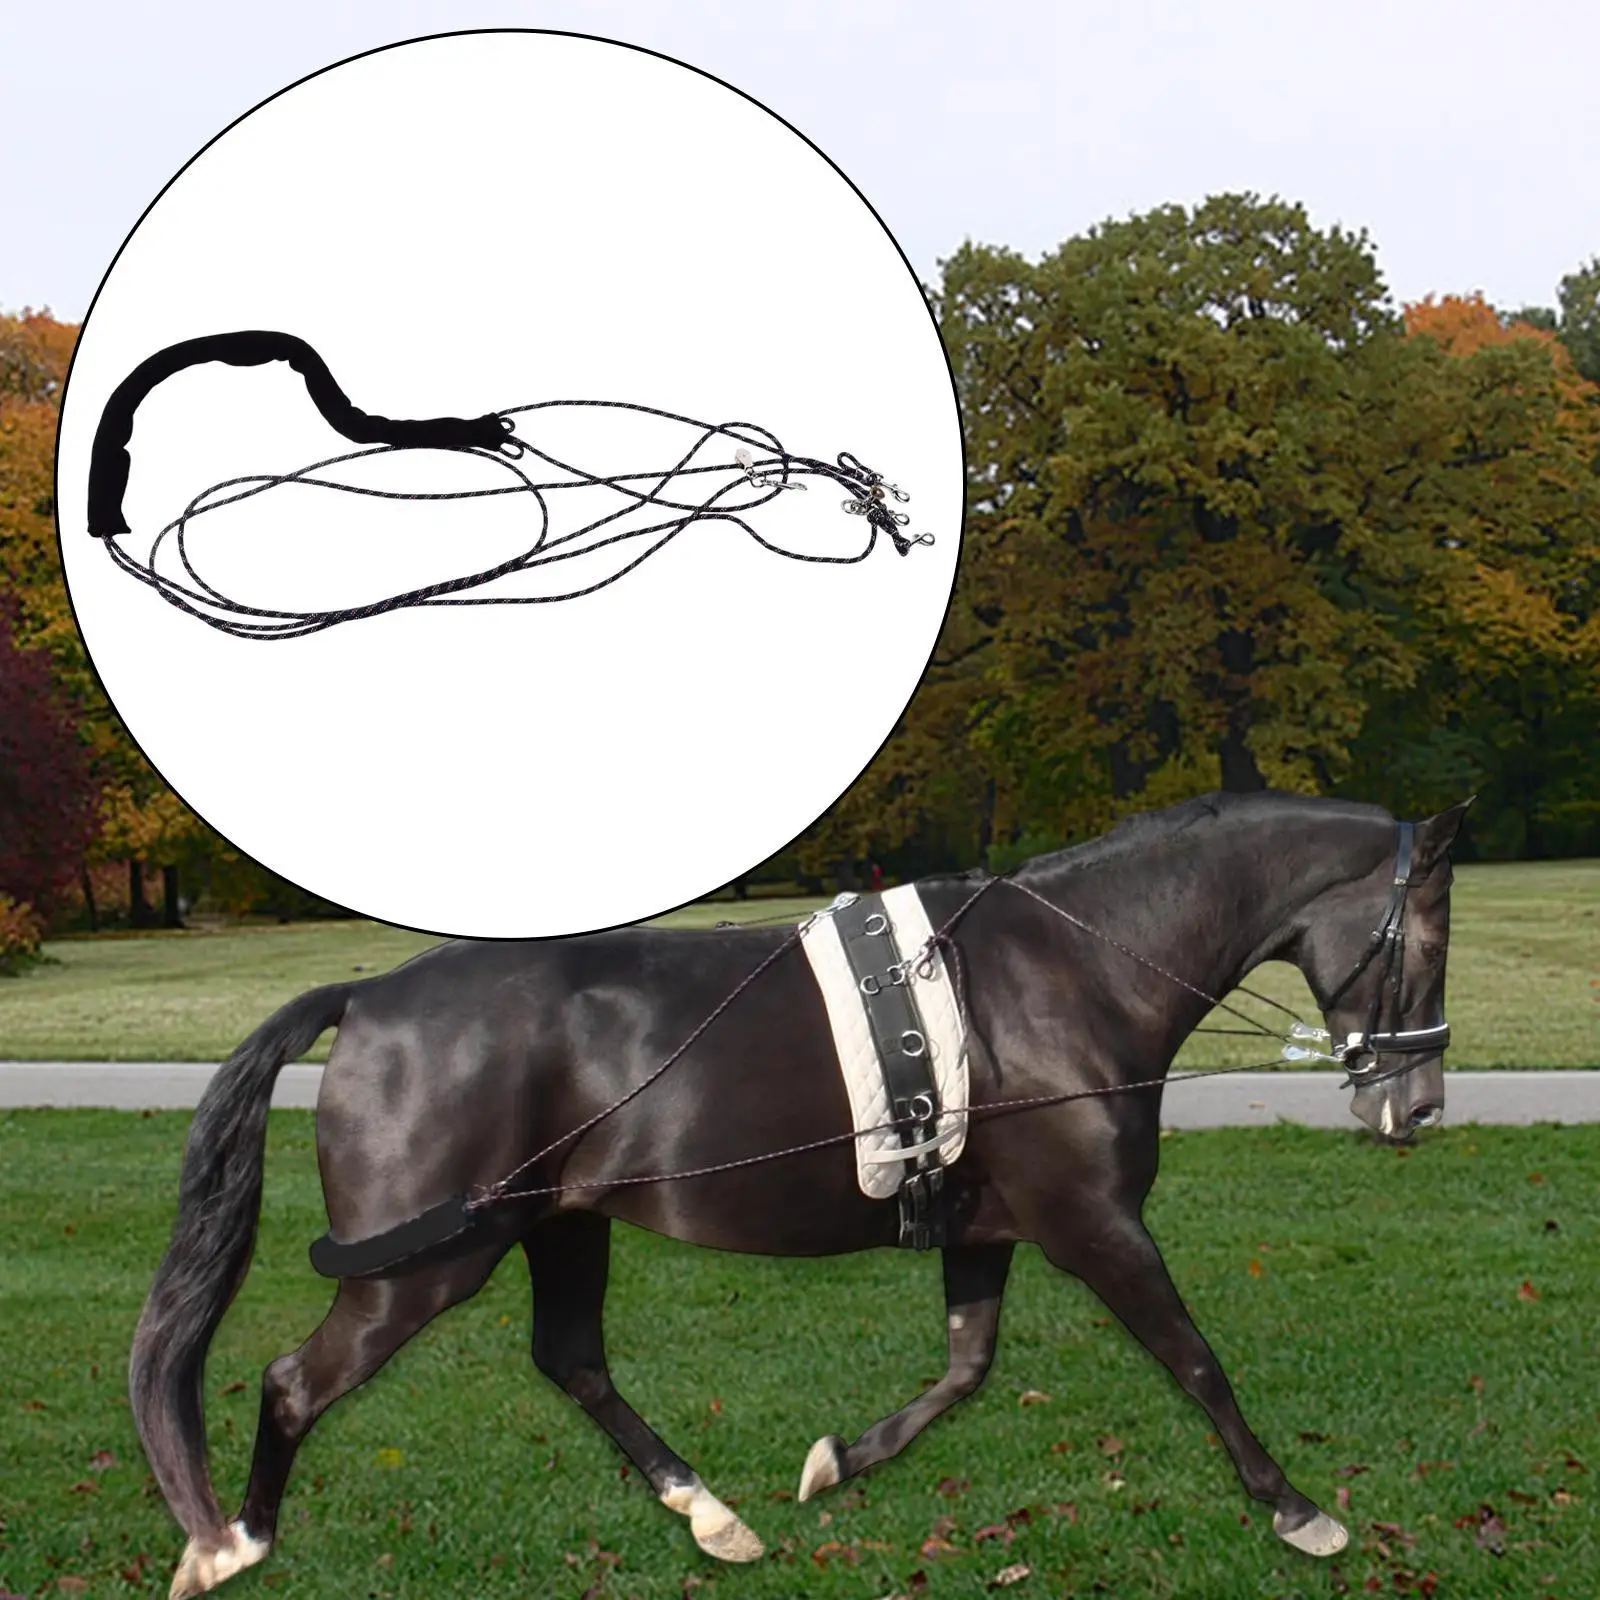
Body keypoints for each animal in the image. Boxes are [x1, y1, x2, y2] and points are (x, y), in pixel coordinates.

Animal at [130, 789, 1470, 1596]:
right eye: (1428, 937)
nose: (1416, 1103)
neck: (1065, 971)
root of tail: (368, 996)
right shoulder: (1094, 1222)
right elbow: (1195, 1359)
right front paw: (1297, 1508)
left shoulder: (985, 1225)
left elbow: (964, 1370)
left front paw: (837, 1459)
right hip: (422, 1265)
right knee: (294, 1381)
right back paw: (232, 1542)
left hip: (559, 1227)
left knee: (572, 1360)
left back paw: (709, 1512)